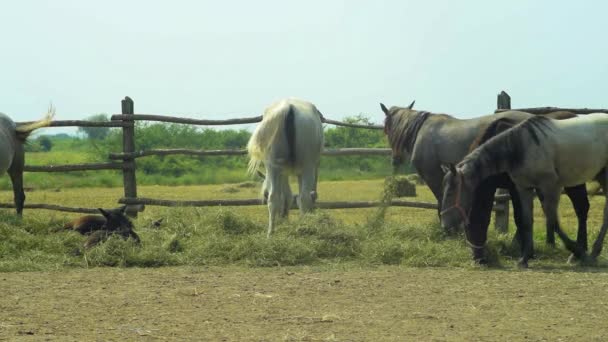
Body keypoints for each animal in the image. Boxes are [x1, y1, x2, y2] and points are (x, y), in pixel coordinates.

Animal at [246, 97, 326, 236]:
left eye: (264, 194)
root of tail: (288, 108)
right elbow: (294, 196)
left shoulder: (282, 172)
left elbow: (285, 196)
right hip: (307, 167)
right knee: (304, 198)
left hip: (273, 166)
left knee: (274, 198)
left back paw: (270, 233)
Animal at [380, 101, 588, 248]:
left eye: (386, 128)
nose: (395, 159)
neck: (421, 130)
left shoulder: (434, 176)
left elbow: (442, 202)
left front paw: (451, 232)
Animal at [440, 115, 608, 268]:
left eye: (451, 192)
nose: (444, 225)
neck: (520, 147)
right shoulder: (524, 188)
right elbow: (526, 221)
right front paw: (525, 258)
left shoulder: (550, 186)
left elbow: (552, 222)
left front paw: (578, 252)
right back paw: (593, 252)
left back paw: (588, 254)